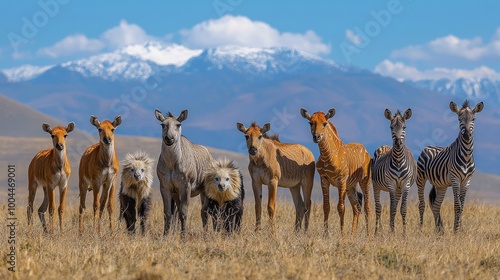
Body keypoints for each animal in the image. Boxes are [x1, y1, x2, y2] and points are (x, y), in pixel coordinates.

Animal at [416, 100, 482, 232]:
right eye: (459, 119)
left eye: (473, 119)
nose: (467, 135)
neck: (466, 156)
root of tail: (427, 147)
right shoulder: (455, 179)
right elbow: (457, 205)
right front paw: (456, 230)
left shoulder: (466, 181)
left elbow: (462, 206)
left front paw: (460, 230)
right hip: (420, 178)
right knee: (422, 204)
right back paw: (421, 229)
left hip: (441, 185)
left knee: (436, 205)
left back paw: (439, 231)